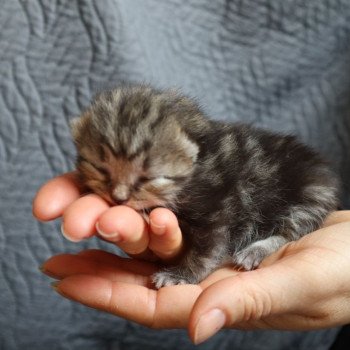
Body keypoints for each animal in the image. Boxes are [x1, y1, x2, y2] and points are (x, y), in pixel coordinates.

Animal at [70, 84, 340, 288]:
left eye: (147, 178)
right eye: (101, 169)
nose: (119, 198)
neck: (198, 165)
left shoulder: (219, 209)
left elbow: (206, 251)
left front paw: (180, 275)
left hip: (309, 195)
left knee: (289, 232)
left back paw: (255, 250)